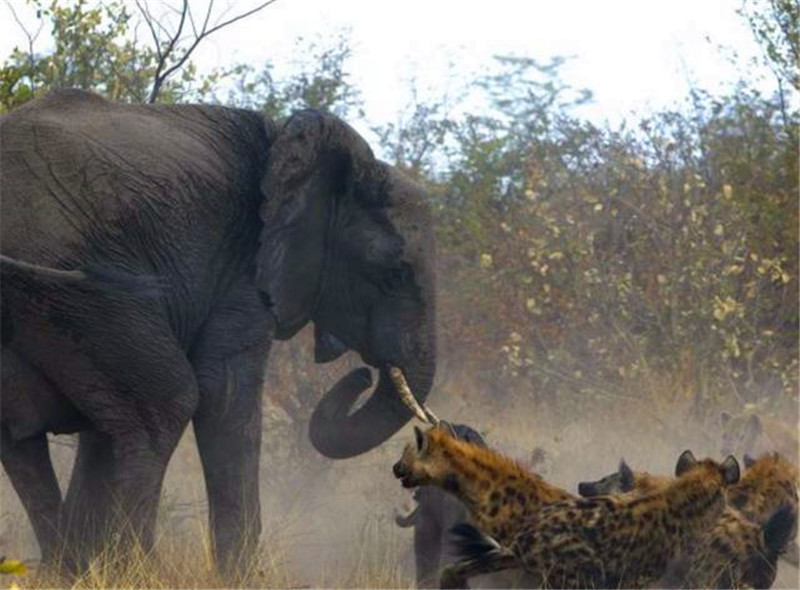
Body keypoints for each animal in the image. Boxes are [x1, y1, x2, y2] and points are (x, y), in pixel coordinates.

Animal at [0, 90, 438, 576]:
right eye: (393, 274)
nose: (362, 374)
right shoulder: (245, 266)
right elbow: (225, 391)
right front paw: (243, 576)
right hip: (78, 295)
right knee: (164, 404)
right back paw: (144, 570)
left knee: (22, 440)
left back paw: (67, 567)